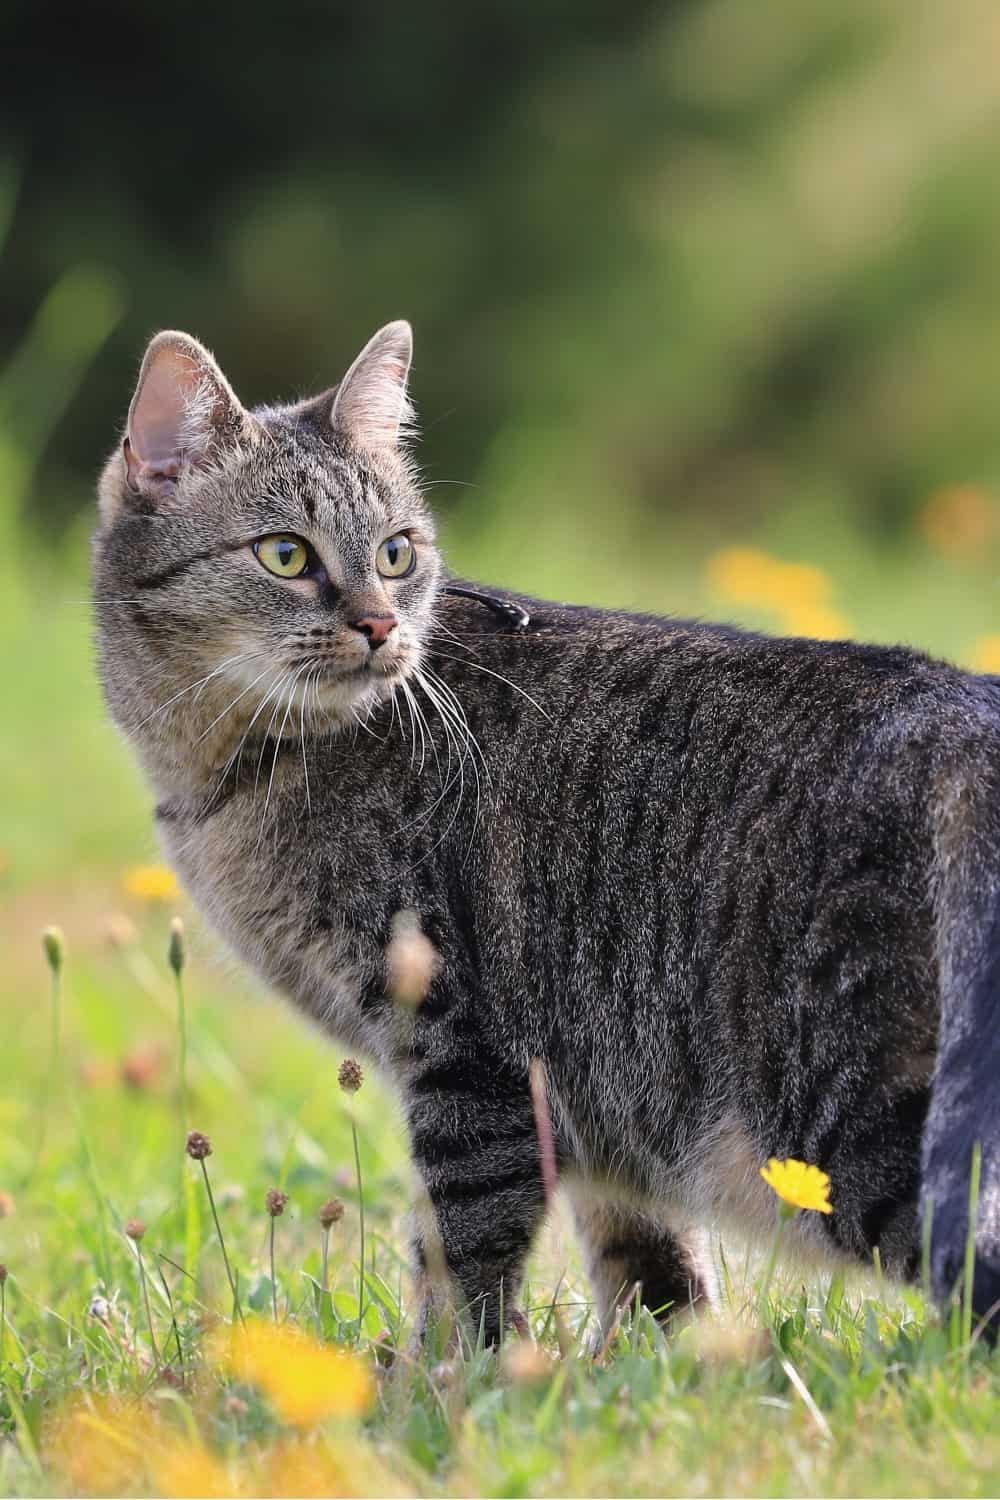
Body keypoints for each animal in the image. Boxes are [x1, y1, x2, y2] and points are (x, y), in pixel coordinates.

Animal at [93, 322, 1000, 1344]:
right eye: (286, 555)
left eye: (396, 554)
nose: (379, 624)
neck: (231, 767)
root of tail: (968, 706)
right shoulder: (604, 1104)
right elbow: (653, 1272)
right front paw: (657, 1362)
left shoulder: (465, 1054)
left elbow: (463, 1254)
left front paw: (440, 1375)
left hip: (838, 1105)